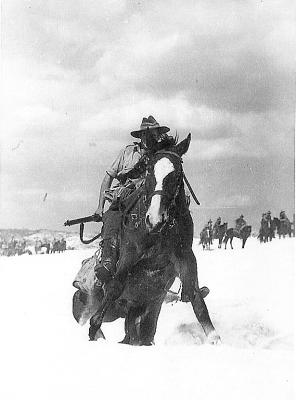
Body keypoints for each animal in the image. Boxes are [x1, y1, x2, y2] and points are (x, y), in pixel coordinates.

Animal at [76, 133, 220, 346]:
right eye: (150, 171)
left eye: (177, 174)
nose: (154, 219)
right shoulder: (129, 254)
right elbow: (115, 287)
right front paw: (93, 327)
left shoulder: (185, 256)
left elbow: (194, 295)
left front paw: (213, 337)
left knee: (141, 329)